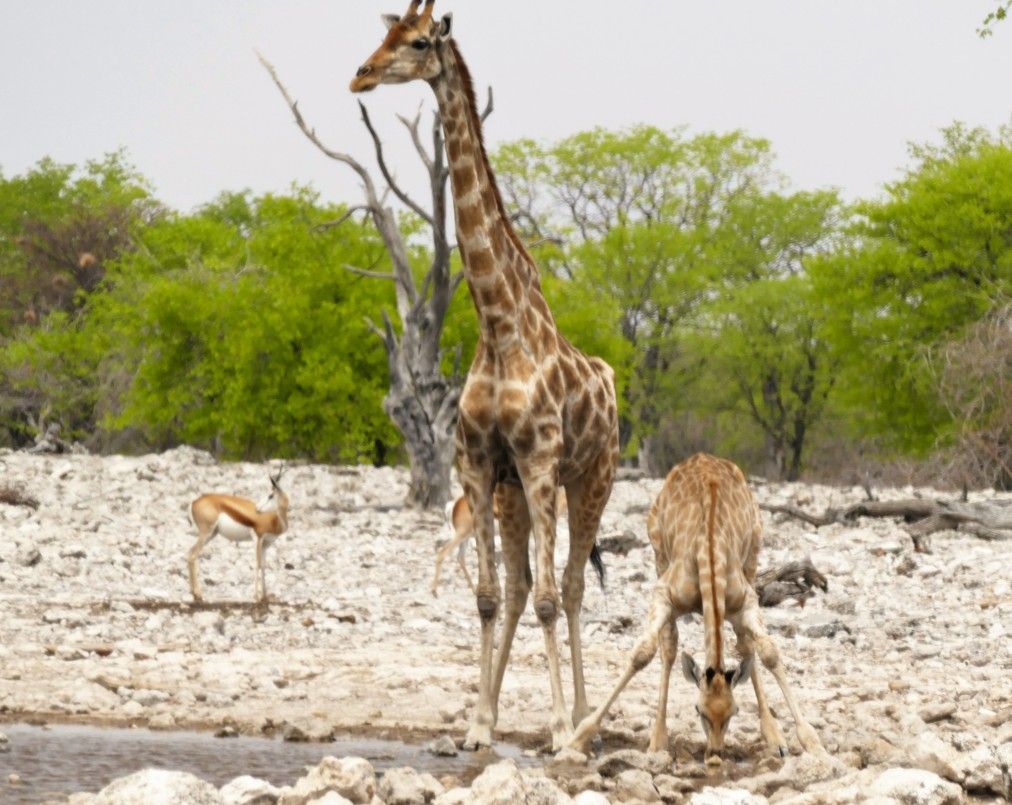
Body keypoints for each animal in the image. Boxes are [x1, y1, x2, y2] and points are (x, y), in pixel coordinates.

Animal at [350, 0, 620, 751]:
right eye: (381, 34)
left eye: (417, 42)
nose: (361, 74)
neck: (498, 325)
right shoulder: (478, 463)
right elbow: (489, 596)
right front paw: (477, 723)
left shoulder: (539, 461)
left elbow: (554, 598)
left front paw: (556, 728)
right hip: (511, 495)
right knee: (526, 586)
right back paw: (510, 712)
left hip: (591, 480)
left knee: (570, 586)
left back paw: (582, 719)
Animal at [569, 453, 824, 764]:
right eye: (698, 710)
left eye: (734, 711)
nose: (714, 752)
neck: (709, 554)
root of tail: (700, 457)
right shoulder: (663, 595)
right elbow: (642, 653)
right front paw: (580, 736)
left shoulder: (746, 601)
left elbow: (769, 652)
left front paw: (810, 741)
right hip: (659, 556)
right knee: (669, 647)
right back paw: (658, 739)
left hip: (752, 559)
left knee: (745, 644)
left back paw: (773, 736)